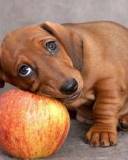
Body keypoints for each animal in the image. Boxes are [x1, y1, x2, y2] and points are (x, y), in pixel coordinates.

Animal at [0, 21, 128, 148]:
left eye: (51, 45)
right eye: (24, 70)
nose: (70, 87)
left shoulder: (109, 82)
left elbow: (103, 107)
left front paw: (102, 130)